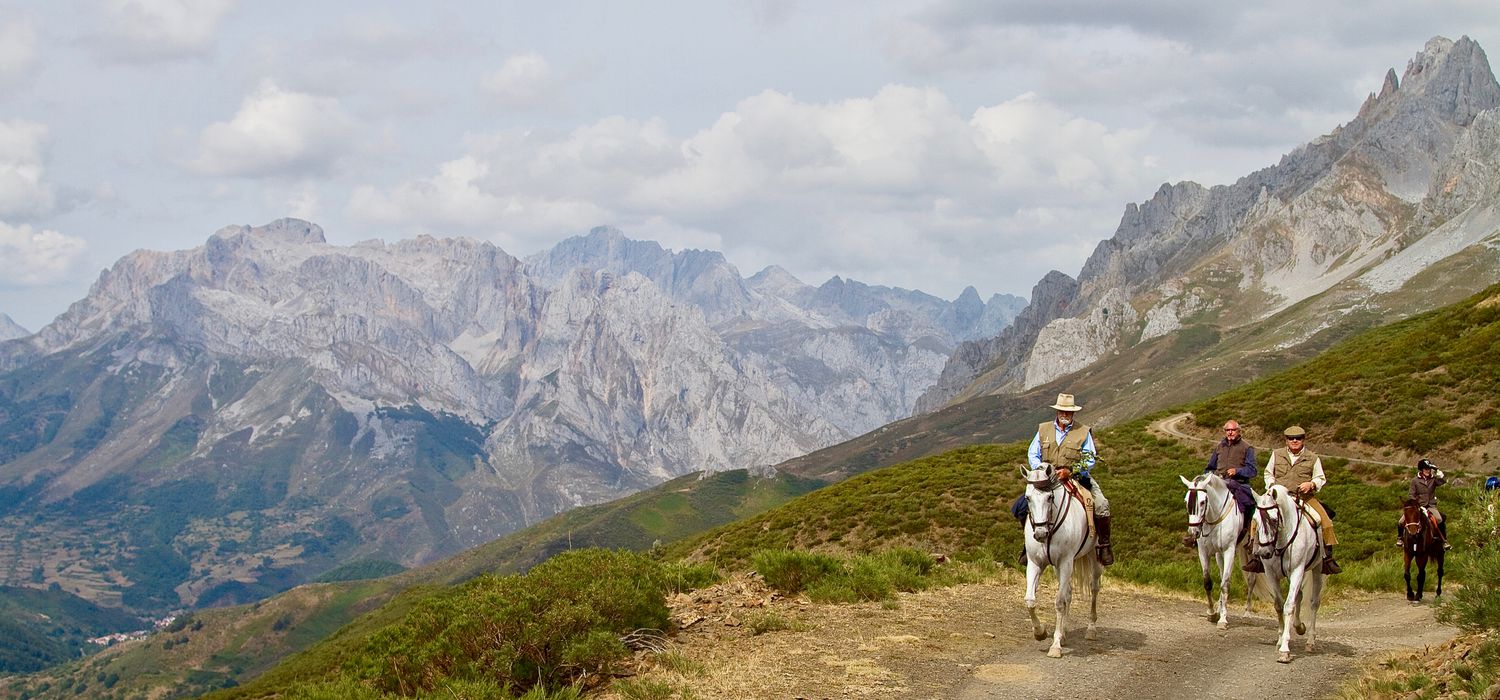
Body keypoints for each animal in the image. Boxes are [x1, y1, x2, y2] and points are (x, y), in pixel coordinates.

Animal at [1020, 464, 1104, 656]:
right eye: (1027, 498)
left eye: (1049, 497)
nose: (1040, 534)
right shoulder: (1035, 564)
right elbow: (1030, 600)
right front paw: (1040, 633)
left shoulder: (1066, 562)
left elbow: (1058, 601)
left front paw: (1055, 646)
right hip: (1059, 568)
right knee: (1069, 593)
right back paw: (1064, 633)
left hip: (1093, 558)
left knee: (1094, 588)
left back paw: (1091, 629)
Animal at [1182, 470, 1266, 629]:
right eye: (1186, 501)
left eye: (1202, 502)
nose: (1193, 533)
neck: (1214, 518)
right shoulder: (1204, 552)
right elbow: (1208, 582)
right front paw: (1212, 613)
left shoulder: (1229, 551)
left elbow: (1225, 585)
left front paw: (1223, 620)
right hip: (1219, 554)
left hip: (1249, 552)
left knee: (1251, 580)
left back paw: (1247, 614)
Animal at [1248, 485, 1332, 665]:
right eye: (1255, 520)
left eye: (1274, 520)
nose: (1263, 552)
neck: (1281, 540)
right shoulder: (1271, 574)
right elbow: (1279, 605)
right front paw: (1280, 640)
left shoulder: (1296, 571)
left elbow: (1289, 606)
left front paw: (1285, 650)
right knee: (1299, 595)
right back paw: (1299, 627)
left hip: (1317, 570)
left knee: (1314, 602)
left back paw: (1310, 642)